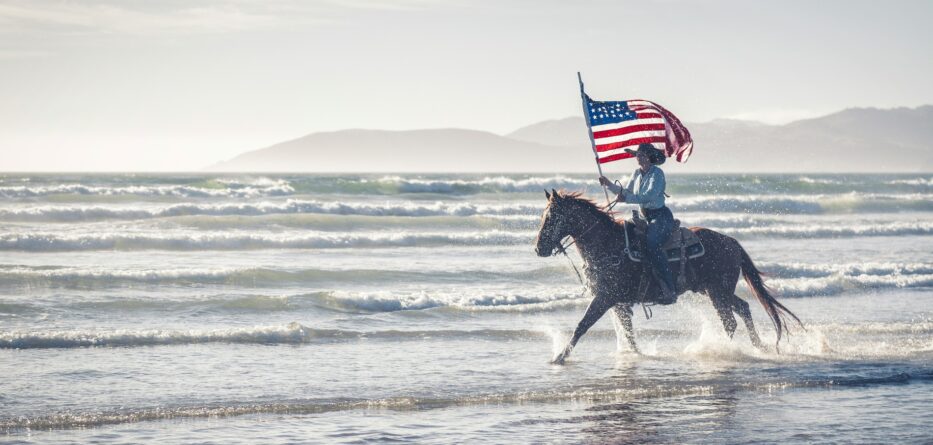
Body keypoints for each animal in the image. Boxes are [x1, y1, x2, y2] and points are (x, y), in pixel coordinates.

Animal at [536, 187, 796, 364]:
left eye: (551, 218)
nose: (539, 248)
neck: (608, 245)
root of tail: (732, 242)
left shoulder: (605, 298)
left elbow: (582, 325)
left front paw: (559, 357)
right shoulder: (617, 302)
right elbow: (628, 332)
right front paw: (636, 354)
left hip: (717, 291)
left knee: (730, 320)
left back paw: (723, 350)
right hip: (714, 290)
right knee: (743, 308)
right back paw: (758, 346)